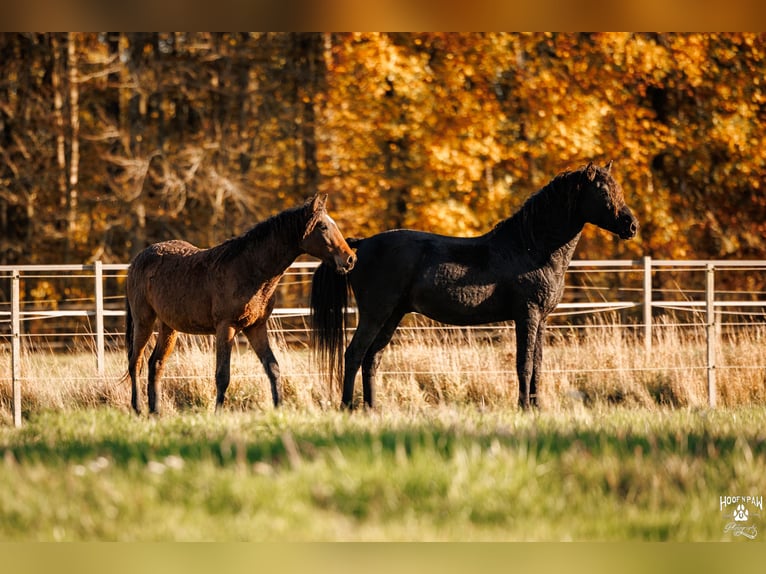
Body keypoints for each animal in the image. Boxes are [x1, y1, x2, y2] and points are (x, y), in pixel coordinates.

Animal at [125, 194, 356, 414]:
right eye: (323, 226)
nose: (350, 259)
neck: (250, 269)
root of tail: (138, 259)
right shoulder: (226, 327)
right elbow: (222, 375)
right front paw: (218, 414)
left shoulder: (256, 328)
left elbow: (273, 368)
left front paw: (279, 409)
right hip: (144, 321)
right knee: (135, 362)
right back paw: (137, 408)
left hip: (169, 327)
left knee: (155, 364)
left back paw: (156, 412)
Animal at [310, 162, 638, 410]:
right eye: (603, 191)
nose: (631, 225)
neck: (531, 246)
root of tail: (360, 245)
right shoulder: (527, 315)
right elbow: (524, 363)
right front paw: (524, 407)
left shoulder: (541, 319)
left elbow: (538, 364)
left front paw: (537, 406)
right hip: (375, 314)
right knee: (353, 354)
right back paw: (347, 407)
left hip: (392, 316)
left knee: (372, 359)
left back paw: (372, 409)